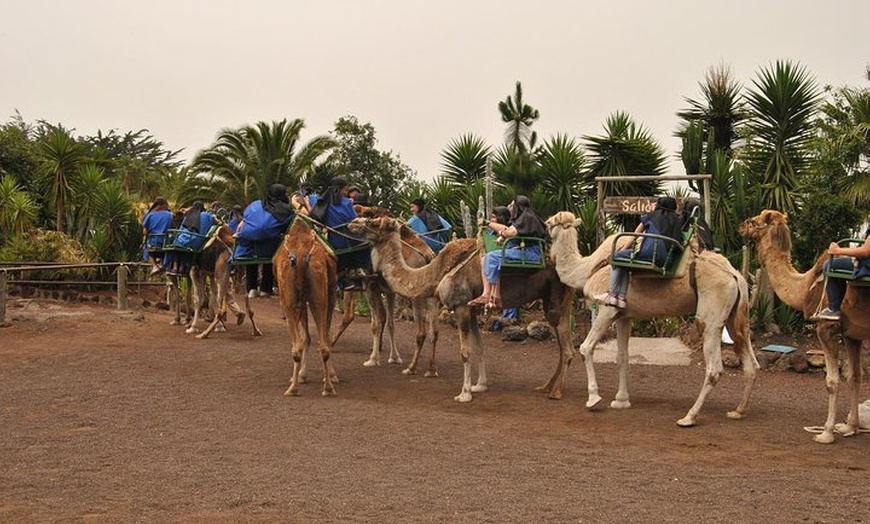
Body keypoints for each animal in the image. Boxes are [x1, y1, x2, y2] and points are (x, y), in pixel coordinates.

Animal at [276, 215, 340, 396]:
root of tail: (300, 257)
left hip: (292, 300)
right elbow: (314, 337)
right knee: (322, 344)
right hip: (318, 297)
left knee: (300, 345)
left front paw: (301, 376)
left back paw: (296, 388)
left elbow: (307, 337)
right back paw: (325, 387)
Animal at [344, 215, 584, 404]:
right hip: (555, 301)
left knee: (567, 348)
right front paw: (480, 385)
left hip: (556, 300)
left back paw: (555, 392)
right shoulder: (472, 310)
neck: (436, 272)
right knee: (563, 345)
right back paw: (546, 386)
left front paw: (464, 394)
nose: (353, 223)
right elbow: (479, 348)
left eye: (374, 222)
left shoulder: (460, 307)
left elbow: (465, 352)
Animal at [548, 211, 760, 428]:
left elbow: (586, 348)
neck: (587, 269)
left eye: (551, 222)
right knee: (751, 363)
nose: (545, 225)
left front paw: (593, 399)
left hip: (711, 316)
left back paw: (689, 417)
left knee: (714, 368)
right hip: (736, 317)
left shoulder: (606, 309)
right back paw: (737, 411)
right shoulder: (623, 315)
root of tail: (736, 276)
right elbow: (622, 356)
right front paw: (621, 400)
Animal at [740, 209, 868, 442]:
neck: (805, 286)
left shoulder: (826, 329)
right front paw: (849, 427)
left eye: (755, 221)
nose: (741, 225)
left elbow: (832, 381)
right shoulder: (852, 334)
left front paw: (826, 433)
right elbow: (855, 376)